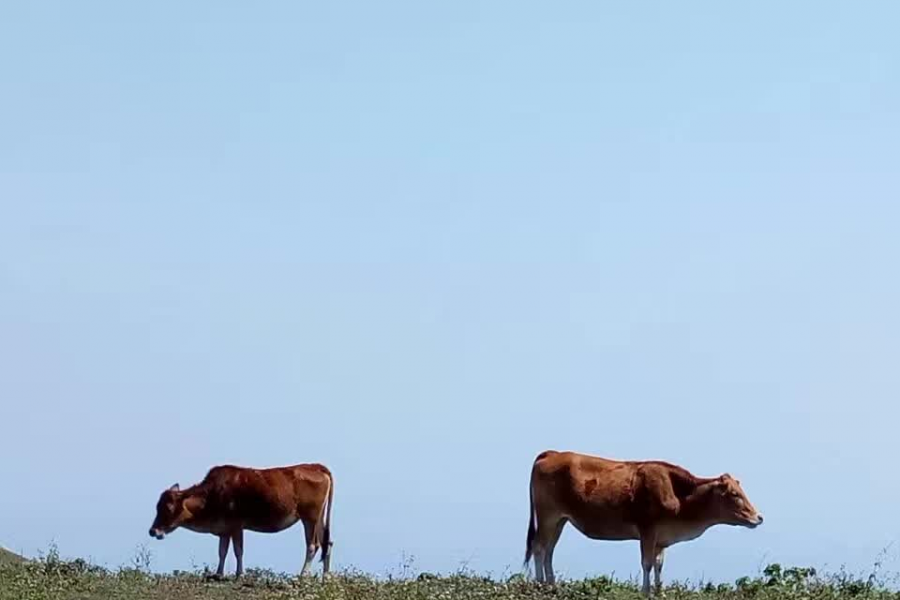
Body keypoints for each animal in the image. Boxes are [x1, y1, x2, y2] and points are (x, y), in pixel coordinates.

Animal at [149, 462, 336, 580]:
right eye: (157, 507)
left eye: (168, 508)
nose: (153, 531)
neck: (212, 496)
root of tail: (316, 466)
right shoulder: (224, 529)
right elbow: (222, 551)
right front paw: (218, 573)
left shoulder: (236, 526)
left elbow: (238, 551)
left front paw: (240, 574)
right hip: (319, 518)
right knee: (327, 543)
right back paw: (326, 577)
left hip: (310, 517)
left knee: (313, 545)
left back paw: (302, 576)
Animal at [524, 450, 764, 596]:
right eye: (734, 493)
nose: (758, 517)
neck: (679, 495)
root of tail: (552, 453)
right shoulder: (648, 529)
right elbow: (647, 563)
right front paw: (646, 591)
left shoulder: (661, 538)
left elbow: (658, 564)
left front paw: (659, 591)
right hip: (547, 516)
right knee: (539, 548)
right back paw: (539, 586)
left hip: (560, 520)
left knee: (548, 551)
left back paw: (551, 586)